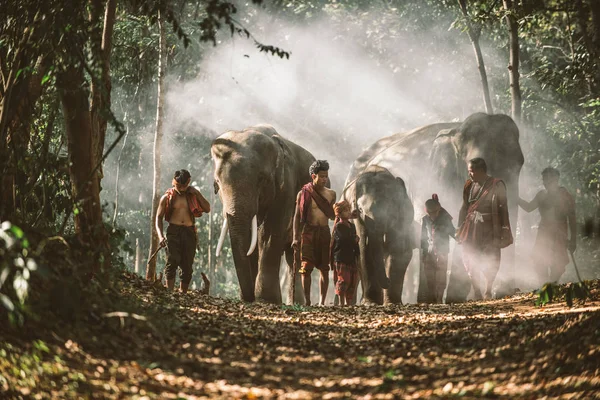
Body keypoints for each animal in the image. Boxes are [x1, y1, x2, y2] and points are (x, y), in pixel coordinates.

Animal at [210, 125, 314, 304]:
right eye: (217, 182)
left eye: (261, 179)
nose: (248, 298)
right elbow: (252, 240)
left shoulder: (286, 187)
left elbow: (269, 234)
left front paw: (267, 299)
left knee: (297, 254)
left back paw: (298, 303)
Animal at [344, 164, 414, 304]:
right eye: (360, 209)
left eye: (389, 208)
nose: (387, 281)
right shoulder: (358, 220)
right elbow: (364, 250)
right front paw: (370, 303)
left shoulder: (401, 217)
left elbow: (397, 249)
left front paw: (392, 303)